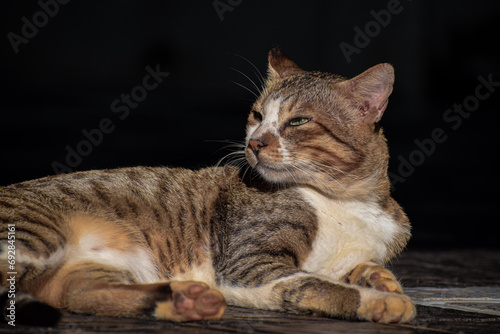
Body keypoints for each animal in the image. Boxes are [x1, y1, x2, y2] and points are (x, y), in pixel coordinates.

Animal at [0, 47, 414, 326]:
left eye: (298, 121)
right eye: (257, 115)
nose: (254, 142)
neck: (347, 201)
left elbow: (359, 267)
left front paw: (381, 281)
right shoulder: (247, 264)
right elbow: (316, 284)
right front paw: (378, 300)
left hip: (87, 269)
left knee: (77, 292)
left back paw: (186, 301)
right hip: (37, 237)